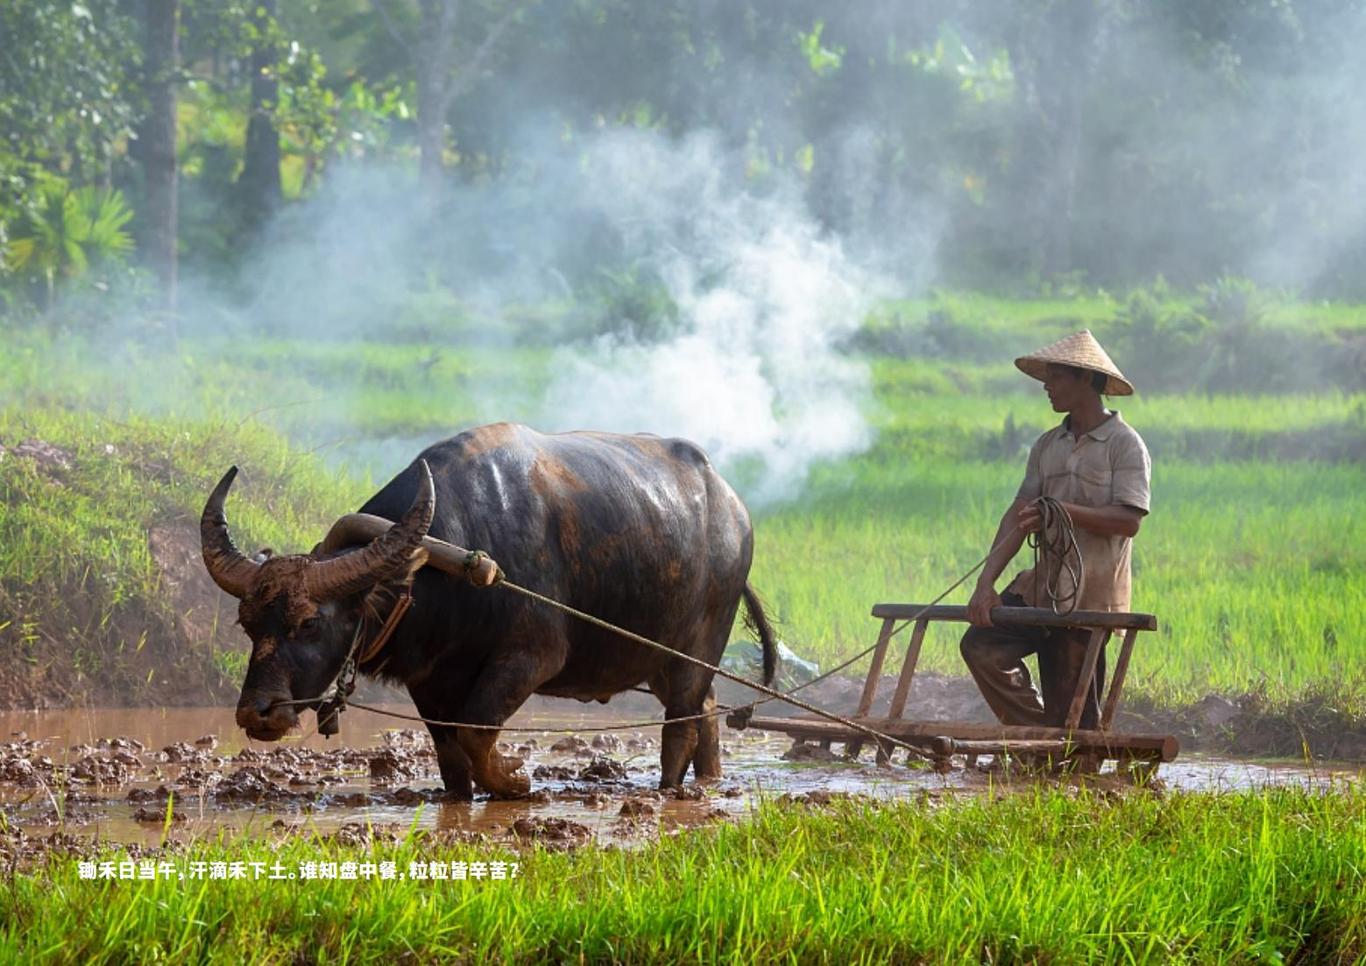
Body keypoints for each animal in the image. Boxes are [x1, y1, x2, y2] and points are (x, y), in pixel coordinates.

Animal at [202, 426, 781, 803]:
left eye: (310, 622)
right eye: (248, 624)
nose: (257, 713)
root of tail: (735, 509)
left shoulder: (530, 658)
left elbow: (477, 731)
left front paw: (516, 781)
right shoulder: (430, 680)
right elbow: (449, 750)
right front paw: (463, 798)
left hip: (695, 651)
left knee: (680, 723)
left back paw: (669, 790)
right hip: (662, 661)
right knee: (707, 711)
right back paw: (708, 782)